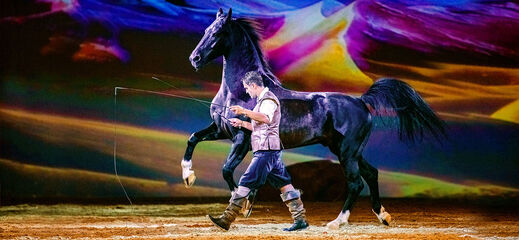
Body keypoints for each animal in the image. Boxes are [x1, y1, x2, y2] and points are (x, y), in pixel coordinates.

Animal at [183, 8, 446, 228]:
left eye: (218, 32)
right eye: (205, 30)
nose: (194, 59)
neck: (238, 92)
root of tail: (362, 101)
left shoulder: (241, 137)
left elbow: (227, 170)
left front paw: (246, 204)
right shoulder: (220, 129)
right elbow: (193, 138)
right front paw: (188, 176)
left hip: (347, 151)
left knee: (356, 182)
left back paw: (338, 222)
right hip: (346, 149)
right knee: (371, 173)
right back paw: (383, 216)